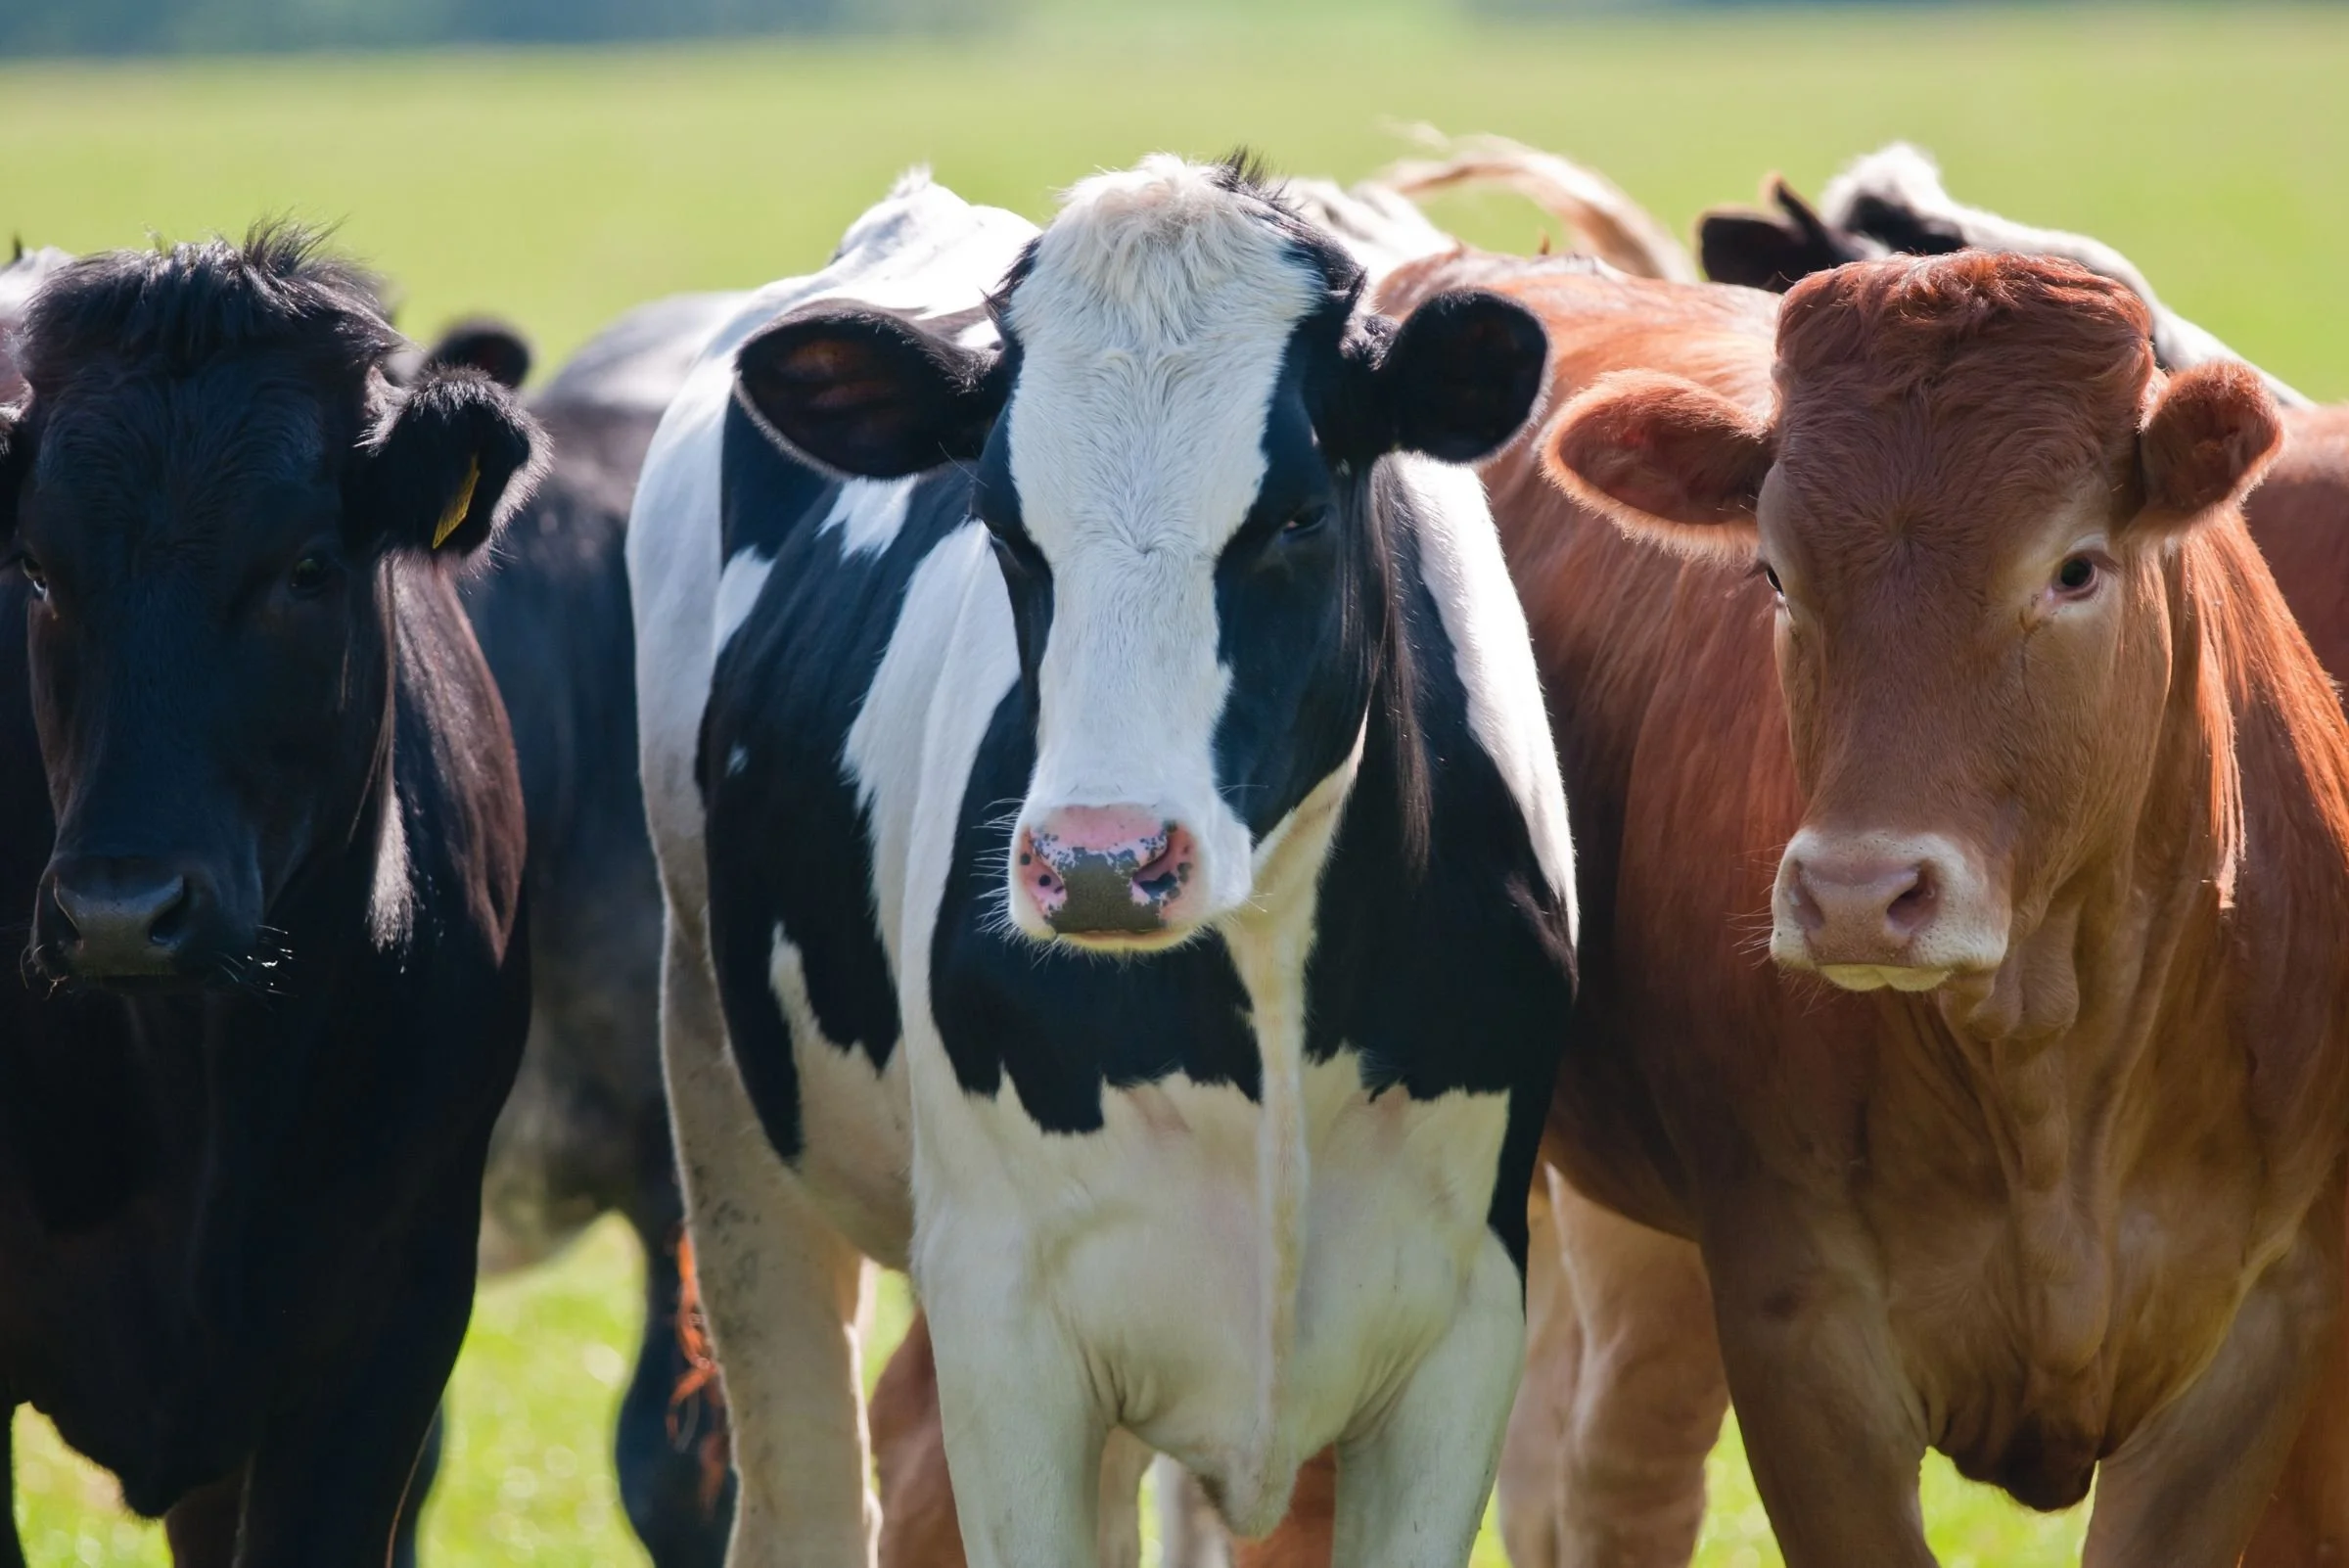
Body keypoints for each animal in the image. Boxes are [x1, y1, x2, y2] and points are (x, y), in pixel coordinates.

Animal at [627, 157, 1573, 1567]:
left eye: (1296, 514)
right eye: (1003, 526)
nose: (1101, 864)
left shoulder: (1466, 1324)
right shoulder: (1004, 1326)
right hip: (723, 1093)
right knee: (805, 1480)